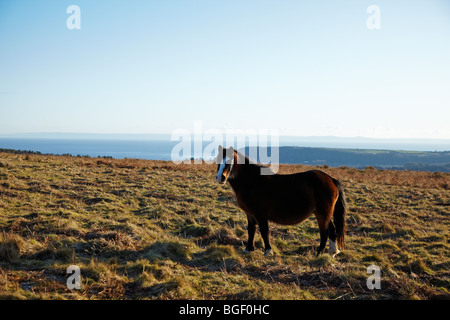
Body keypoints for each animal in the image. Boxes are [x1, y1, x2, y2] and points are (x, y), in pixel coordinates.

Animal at [216, 146, 346, 258]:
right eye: (218, 160)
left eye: (229, 161)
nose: (220, 178)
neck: (252, 181)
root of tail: (330, 179)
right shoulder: (250, 214)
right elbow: (251, 230)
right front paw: (249, 249)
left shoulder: (260, 214)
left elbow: (264, 231)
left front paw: (268, 251)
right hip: (325, 214)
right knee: (332, 231)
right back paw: (332, 253)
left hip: (322, 214)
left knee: (324, 233)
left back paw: (318, 254)